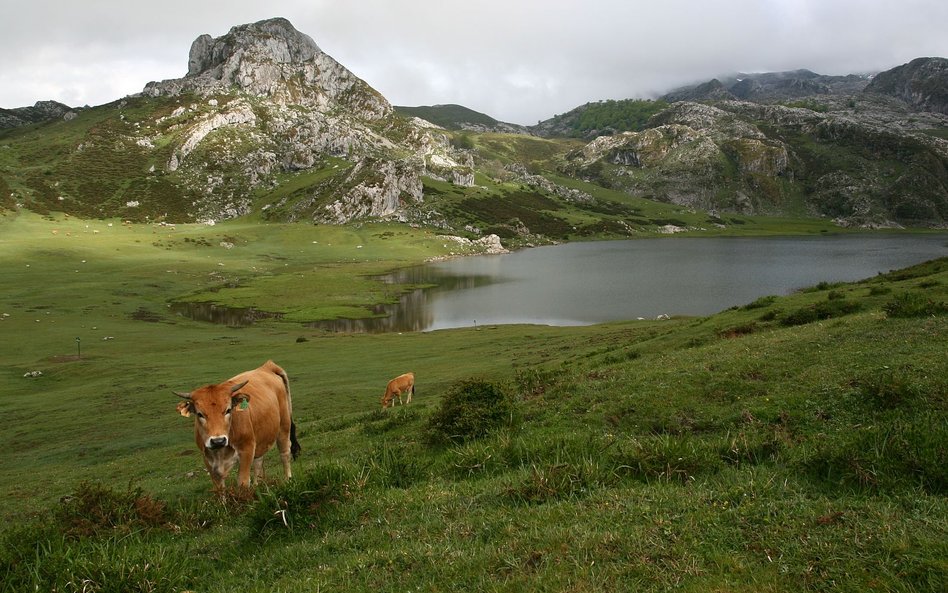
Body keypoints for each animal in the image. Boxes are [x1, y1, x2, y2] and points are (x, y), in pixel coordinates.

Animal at [174, 360, 300, 490]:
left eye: (228, 410)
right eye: (200, 414)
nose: (218, 441)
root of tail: (267, 367)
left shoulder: (247, 450)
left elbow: (243, 482)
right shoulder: (208, 459)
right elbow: (219, 488)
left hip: (284, 427)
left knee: (285, 454)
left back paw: (288, 480)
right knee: (258, 462)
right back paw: (257, 485)